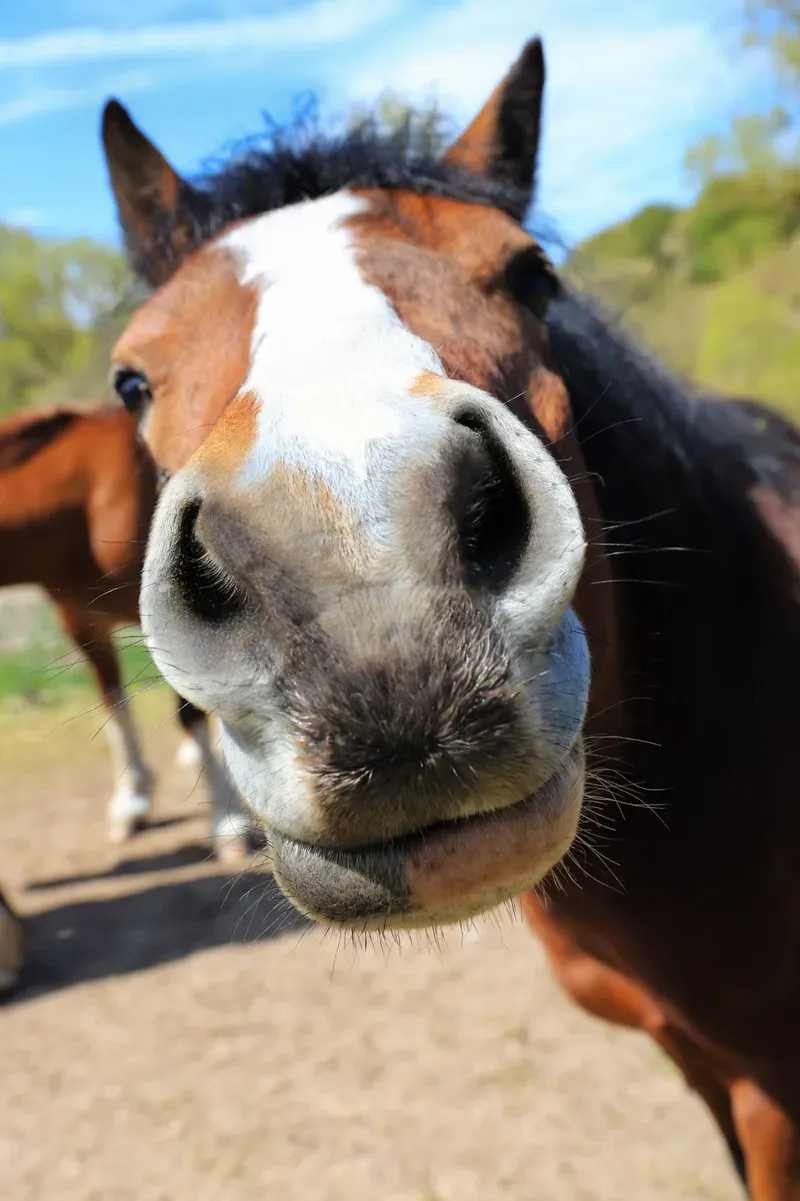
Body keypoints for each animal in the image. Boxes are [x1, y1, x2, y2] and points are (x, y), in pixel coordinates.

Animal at [0, 402, 253, 859]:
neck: (85, 503)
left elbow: (188, 715)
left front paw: (227, 821)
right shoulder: (80, 621)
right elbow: (113, 703)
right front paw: (131, 801)